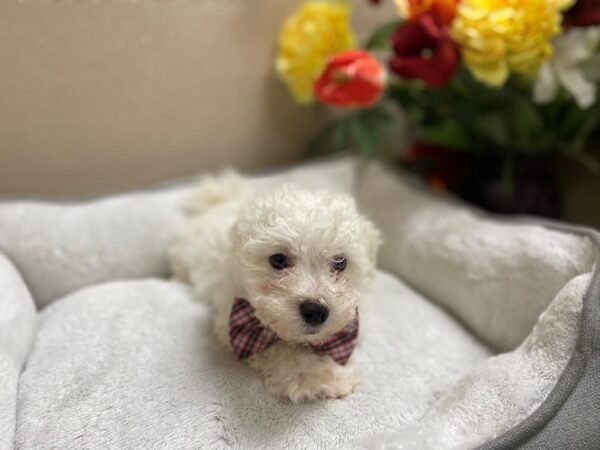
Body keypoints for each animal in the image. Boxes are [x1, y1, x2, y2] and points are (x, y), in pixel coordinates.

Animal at [171, 174, 380, 402]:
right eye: (278, 260)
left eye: (340, 262)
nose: (315, 311)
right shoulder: (229, 320)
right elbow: (283, 347)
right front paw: (319, 378)